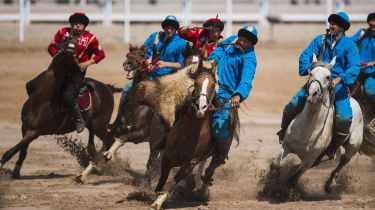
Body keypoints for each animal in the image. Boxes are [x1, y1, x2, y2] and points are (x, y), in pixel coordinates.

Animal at [0, 39, 118, 179]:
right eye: (62, 44)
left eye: (73, 51)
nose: (71, 45)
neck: (43, 99)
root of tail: (107, 88)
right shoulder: (25, 127)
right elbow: (22, 151)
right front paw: (16, 172)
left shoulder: (35, 131)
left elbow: (13, 150)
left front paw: (2, 163)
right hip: (93, 125)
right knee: (94, 142)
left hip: (100, 125)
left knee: (109, 140)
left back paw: (98, 164)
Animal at [274, 55, 364, 193]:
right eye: (311, 73)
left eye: (328, 77)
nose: (313, 94)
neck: (308, 128)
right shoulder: (286, 145)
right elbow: (276, 165)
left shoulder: (310, 159)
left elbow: (294, 177)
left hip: (353, 145)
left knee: (343, 161)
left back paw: (330, 184)